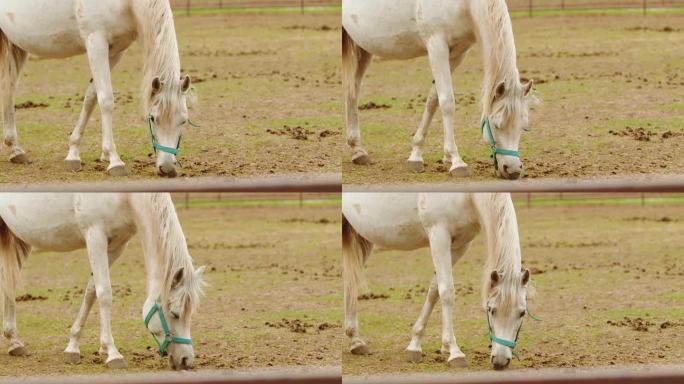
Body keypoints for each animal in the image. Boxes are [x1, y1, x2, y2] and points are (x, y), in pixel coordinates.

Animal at [0, 0, 194, 178]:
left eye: (183, 121)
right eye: (153, 118)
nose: (167, 169)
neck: (127, 4)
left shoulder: (116, 51)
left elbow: (92, 97)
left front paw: (75, 154)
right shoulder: (96, 42)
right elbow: (106, 100)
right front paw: (114, 160)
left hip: (17, 44)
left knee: (8, 88)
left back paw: (16, 150)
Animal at [0, 194, 204, 370]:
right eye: (175, 313)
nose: (186, 360)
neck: (126, 197)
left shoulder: (116, 246)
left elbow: (92, 291)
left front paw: (75, 346)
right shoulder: (95, 236)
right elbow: (104, 293)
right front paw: (113, 353)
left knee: (8, 282)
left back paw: (14, 343)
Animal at [342, 0, 536, 180]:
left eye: (524, 126)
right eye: (497, 124)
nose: (512, 170)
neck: (465, 5)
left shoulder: (457, 53)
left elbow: (434, 99)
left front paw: (419, 155)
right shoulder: (437, 46)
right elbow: (447, 102)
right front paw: (456, 161)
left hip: (363, 46)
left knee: (353, 90)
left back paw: (358, 151)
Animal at [342, 194, 536, 370]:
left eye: (522, 313)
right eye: (491, 310)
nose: (501, 361)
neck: (468, 196)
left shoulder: (460, 245)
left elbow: (435, 289)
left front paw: (417, 345)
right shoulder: (439, 236)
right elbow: (447, 292)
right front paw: (455, 352)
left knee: (351, 282)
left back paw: (356, 341)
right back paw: (355, 340)